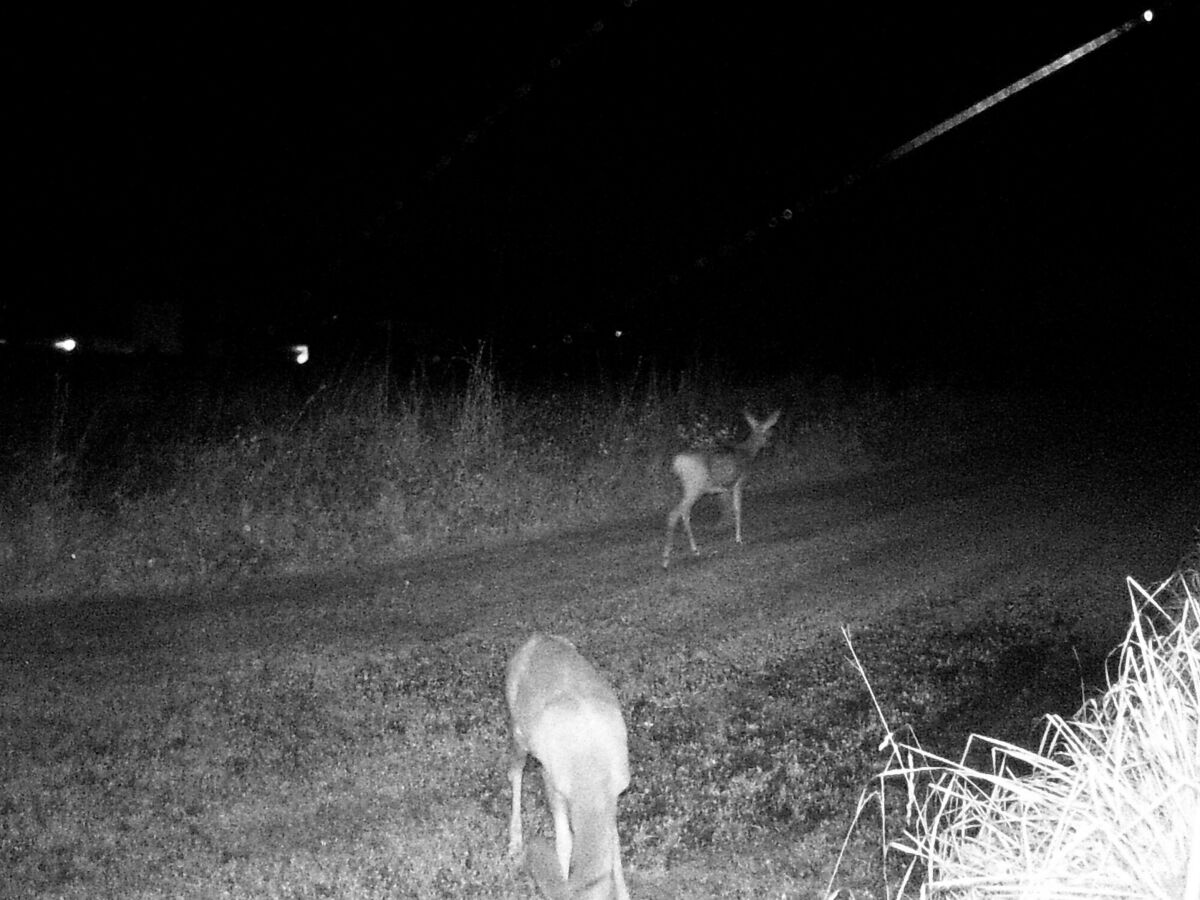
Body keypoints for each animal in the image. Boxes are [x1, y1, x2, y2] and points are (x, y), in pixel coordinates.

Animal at [662, 410, 782, 571]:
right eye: (769, 432)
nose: (771, 444)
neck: (748, 453)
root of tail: (677, 463)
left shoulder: (724, 488)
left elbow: (727, 507)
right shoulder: (739, 482)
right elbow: (737, 509)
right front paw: (738, 539)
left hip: (687, 488)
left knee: (684, 513)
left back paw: (694, 550)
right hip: (694, 486)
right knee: (675, 514)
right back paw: (666, 559)